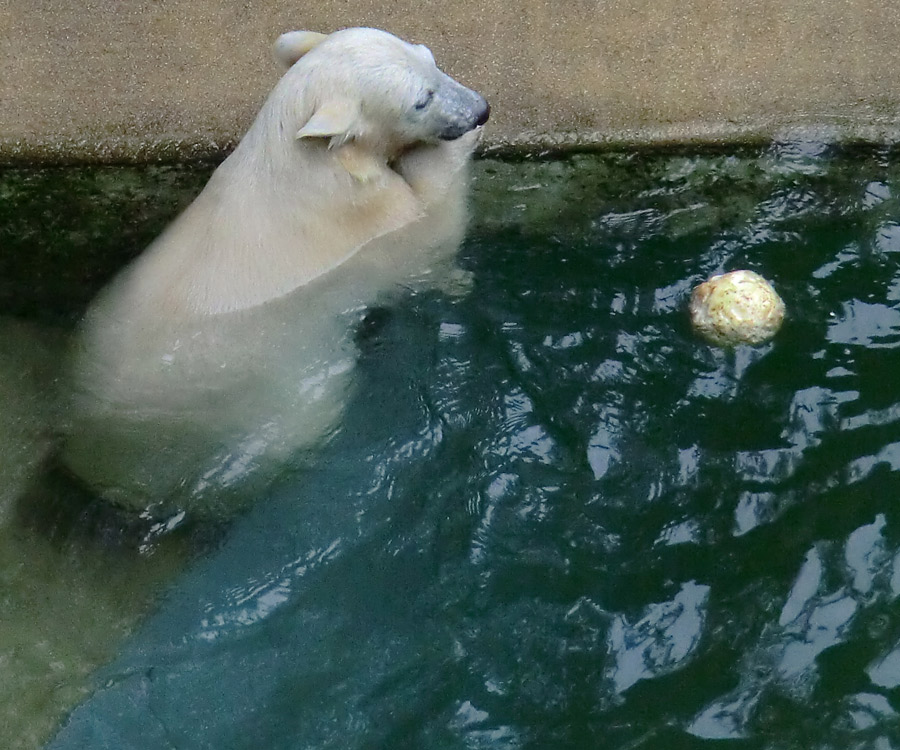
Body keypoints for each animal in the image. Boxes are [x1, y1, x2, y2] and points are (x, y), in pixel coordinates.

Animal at [59, 26, 488, 520]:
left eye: (428, 55)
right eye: (421, 99)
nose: (480, 109)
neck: (299, 160)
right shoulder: (366, 221)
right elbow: (432, 224)